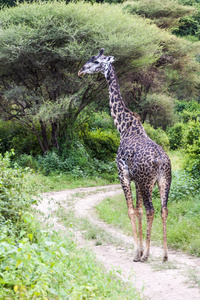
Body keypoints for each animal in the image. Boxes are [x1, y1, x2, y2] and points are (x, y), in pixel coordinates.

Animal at [78, 48, 172, 262]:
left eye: (96, 61)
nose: (80, 71)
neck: (123, 126)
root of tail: (161, 161)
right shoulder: (136, 178)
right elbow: (137, 210)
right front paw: (140, 250)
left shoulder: (123, 173)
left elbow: (130, 210)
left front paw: (137, 252)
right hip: (163, 180)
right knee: (163, 210)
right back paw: (163, 255)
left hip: (147, 182)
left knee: (152, 209)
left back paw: (147, 255)